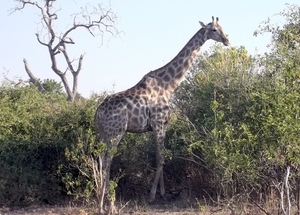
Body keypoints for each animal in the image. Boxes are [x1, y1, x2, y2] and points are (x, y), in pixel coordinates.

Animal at [95, 15, 229, 212]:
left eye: (222, 27)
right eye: (213, 30)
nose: (227, 40)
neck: (169, 85)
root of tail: (97, 112)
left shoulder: (163, 125)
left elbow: (161, 157)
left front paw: (163, 193)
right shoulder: (158, 123)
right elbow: (160, 158)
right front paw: (152, 195)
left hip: (103, 133)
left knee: (99, 160)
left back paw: (101, 199)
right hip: (115, 132)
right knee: (106, 161)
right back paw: (106, 203)